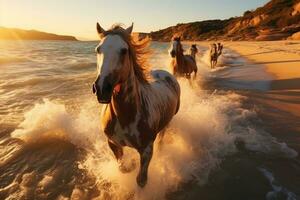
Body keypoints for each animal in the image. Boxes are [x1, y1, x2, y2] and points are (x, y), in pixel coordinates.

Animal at [91, 23, 180, 188]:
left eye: (124, 50)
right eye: (98, 49)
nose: (102, 88)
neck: (126, 117)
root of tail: (166, 74)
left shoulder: (146, 150)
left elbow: (141, 180)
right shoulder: (112, 143)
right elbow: (122, 168)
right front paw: (130, 165)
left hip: (168, 121)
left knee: (162, 136)